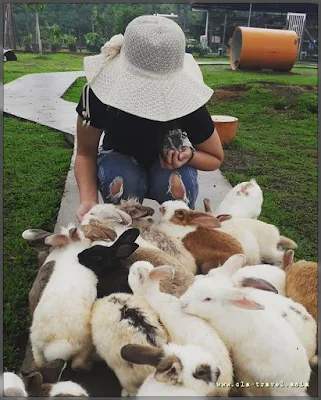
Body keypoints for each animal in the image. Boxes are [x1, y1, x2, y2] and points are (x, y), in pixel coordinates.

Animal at [29, 225, 97, 372]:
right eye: (83, 235)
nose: (90, 239)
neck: (73, 249)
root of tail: (52, 345)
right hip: (84, 343)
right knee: (77, 364)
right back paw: (89, 366)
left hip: (36, 348)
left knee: (39, 362)